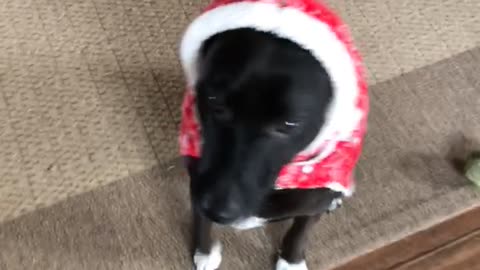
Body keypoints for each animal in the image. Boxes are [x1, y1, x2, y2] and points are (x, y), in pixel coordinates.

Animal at [178, 1, 370, 268]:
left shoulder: (314, 199)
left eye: (289, 124)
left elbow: (301, 230)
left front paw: (291, 261)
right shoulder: (198, 180)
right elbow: (200, 220)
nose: (217, 210)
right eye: (214, 101)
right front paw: (205, 252)